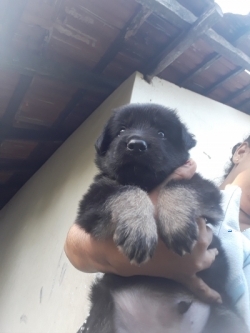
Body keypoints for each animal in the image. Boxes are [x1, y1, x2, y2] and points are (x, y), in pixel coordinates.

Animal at [76, 104, 250, 332]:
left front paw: (177, 225)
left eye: (161, 133)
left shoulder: (205, 189)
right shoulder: (92, 201)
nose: (136, 145)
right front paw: (138, 229)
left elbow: (177, 185)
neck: (146, 182)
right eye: (121, 130)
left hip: (227, 316)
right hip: (102, 308)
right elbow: (125, 191)